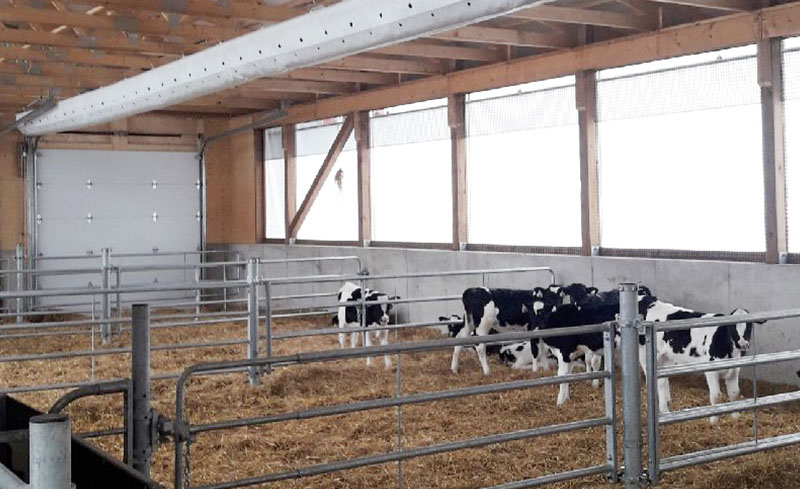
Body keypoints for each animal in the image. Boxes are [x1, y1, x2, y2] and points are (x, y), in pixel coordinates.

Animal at [636, 298, 764, 424]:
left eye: (749, 325)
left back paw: (665, 409)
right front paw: (713, 421)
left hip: (665, 358)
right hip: (644, 353)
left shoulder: (734, 369)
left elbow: (734, 392)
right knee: (650, 380)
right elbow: (716, 395)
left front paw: (735, 417)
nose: (742, 344)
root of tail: (648, 299)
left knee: (662, 382)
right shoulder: (711, 370)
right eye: (732, 326)